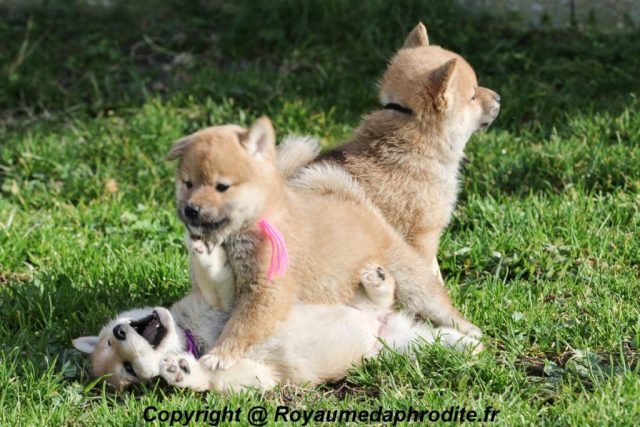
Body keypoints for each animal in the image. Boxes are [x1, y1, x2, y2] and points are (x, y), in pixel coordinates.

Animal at [73, 238, 481, 392]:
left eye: (110, 338)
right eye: (128, 370)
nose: (122, 333)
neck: (195, 340)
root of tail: (380, 329)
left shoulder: (222, 301)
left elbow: (213, 281)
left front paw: (204, 249)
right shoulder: (256, 377)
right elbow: (216, 379)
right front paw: (184, 374)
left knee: (377, 300)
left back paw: (377, 282)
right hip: (399, 346)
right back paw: (471, 347)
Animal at [165, 116, 481, 371]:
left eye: (221, 186)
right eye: (188, 183)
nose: (191, 210)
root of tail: (353, 199)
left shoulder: (268, 291)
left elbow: (242, 326)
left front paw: (220, 355)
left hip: (410, 275)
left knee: (437, 302)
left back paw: (470, 330)